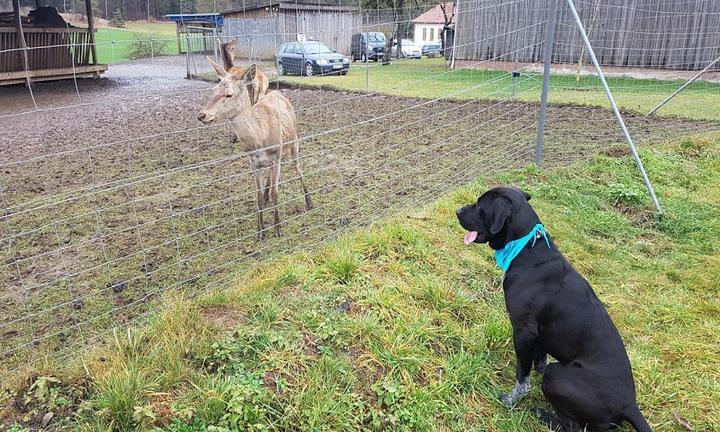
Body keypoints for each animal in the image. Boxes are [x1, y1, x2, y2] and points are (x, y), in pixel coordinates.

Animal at [197, 58, 312, 240]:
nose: (202, 115)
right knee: (270, 178)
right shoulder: (253, 162)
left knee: (298, 169)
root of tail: (278, 93)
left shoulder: (277, 156)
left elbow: (276, 192)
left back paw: (309, 201)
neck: (260, 138)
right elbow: (257, 195)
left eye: (229, 94)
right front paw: (260, 232)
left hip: (293, 142)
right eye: (213, 90)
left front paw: (278, 229)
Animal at [462, 186, 652, 432]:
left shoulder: (523, 331)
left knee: (575, 426)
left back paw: (544, 416)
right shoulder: (538, 336)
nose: (458, 211)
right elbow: (539, 358)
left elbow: (521, 376)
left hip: (557, 375)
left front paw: (513, 398)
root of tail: (629, 405)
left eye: (479, 205)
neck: (526, 249)